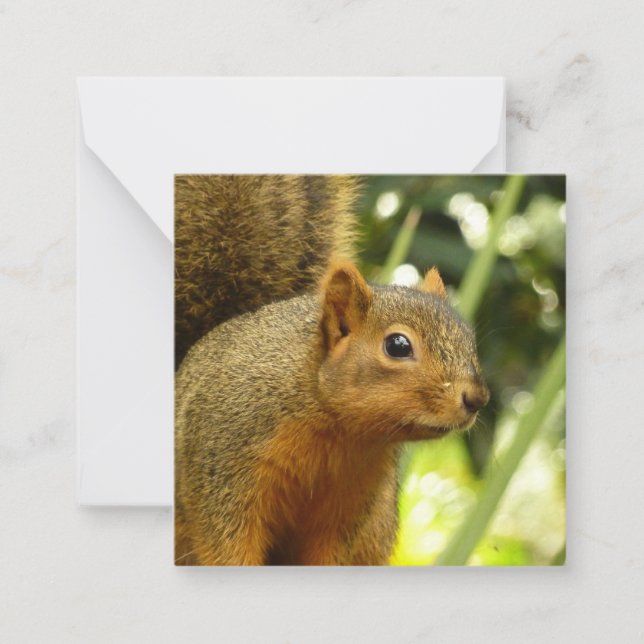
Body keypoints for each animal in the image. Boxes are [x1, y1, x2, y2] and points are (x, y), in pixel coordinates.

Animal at [174, 175, 489, 566]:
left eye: (469, 339)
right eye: (398, 345)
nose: (477, 398)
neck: (339, 433)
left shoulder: (350, 505)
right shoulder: (223, 468)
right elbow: (227, 546)